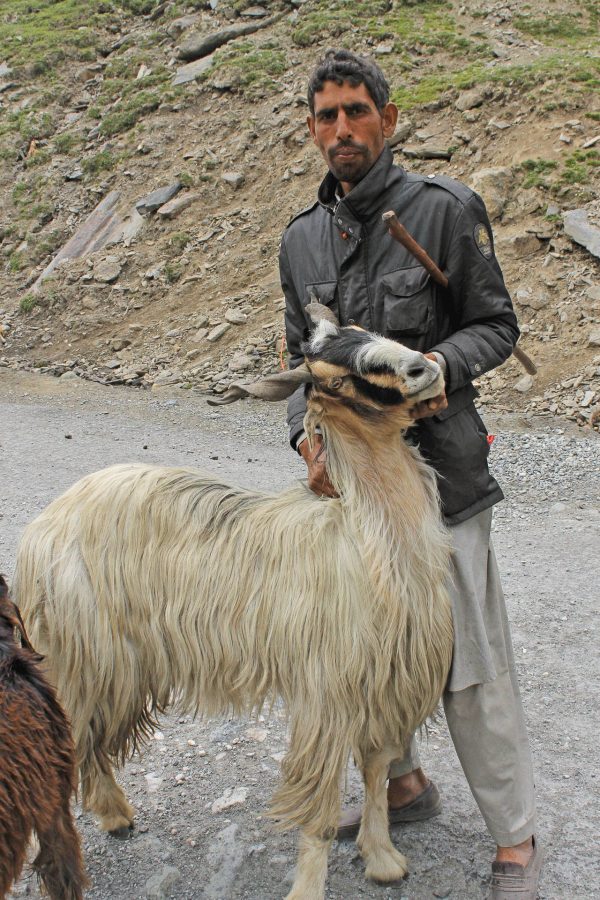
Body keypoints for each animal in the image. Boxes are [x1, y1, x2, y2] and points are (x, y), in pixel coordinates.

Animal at [14, 312, 452, 900]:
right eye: (333, 378)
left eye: (366, 331)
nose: (422, 369)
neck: (368, 544)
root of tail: (45, 523)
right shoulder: (327, 695)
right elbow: (319, 807)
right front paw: (308, 888)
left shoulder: (383, 689)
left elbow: (378, 775)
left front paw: (382, 859)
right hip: (85, 653)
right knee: (63, 742)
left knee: (88, 741)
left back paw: (115, 816)